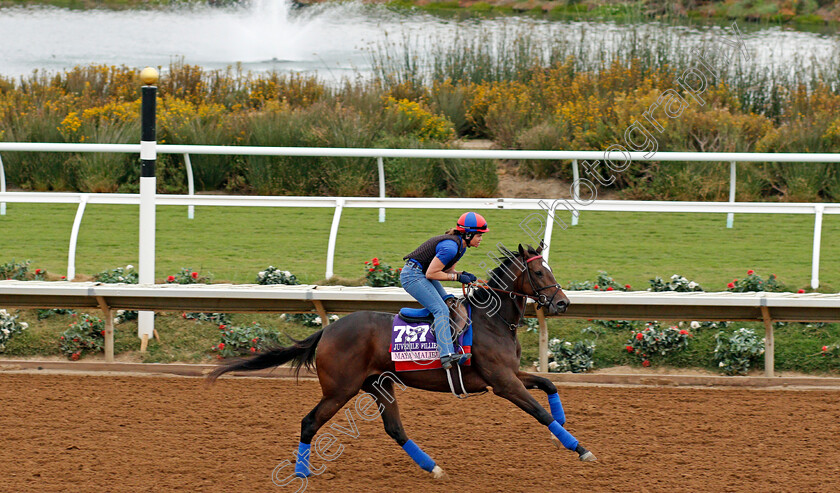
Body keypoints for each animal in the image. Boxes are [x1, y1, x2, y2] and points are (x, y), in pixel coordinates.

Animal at [207, 242, 592, 480]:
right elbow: (539, 412)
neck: (491, 319)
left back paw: (433, 468)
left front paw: (563, 431)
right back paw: (301, 472)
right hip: (340, 389)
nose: (563, 303)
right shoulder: (502, 382)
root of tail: (328, 330)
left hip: (380, 386)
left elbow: (548, 384)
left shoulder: (510, 374)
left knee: (394, 428)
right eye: (539, 273)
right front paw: (579, 448)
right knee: (309, 422)